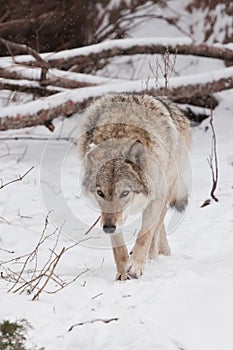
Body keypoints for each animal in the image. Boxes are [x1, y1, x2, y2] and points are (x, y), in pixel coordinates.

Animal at [77, 92, 191, 278]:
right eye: (100, 193)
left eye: (125, 193)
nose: (108, 228)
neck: (120, 129)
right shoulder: (112, 218)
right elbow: (118, 248)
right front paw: (123, 272)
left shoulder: (156, 199)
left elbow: (145, 234)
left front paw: (136, 265)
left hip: (166, 190)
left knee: (157, 228)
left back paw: (153, 258)